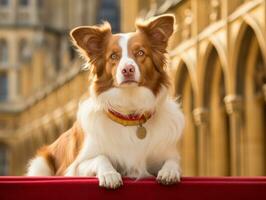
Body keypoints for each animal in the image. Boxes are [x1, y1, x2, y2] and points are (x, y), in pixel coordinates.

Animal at [27, 14, 185, 189]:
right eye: (113, 56)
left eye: (140, 52)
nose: (127, 70)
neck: (130, 111)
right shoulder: (75, 167)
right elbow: (100, 157)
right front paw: (110, 175)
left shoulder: (163, 154)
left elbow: (174, 161)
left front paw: (169, 172)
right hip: (40, 164)